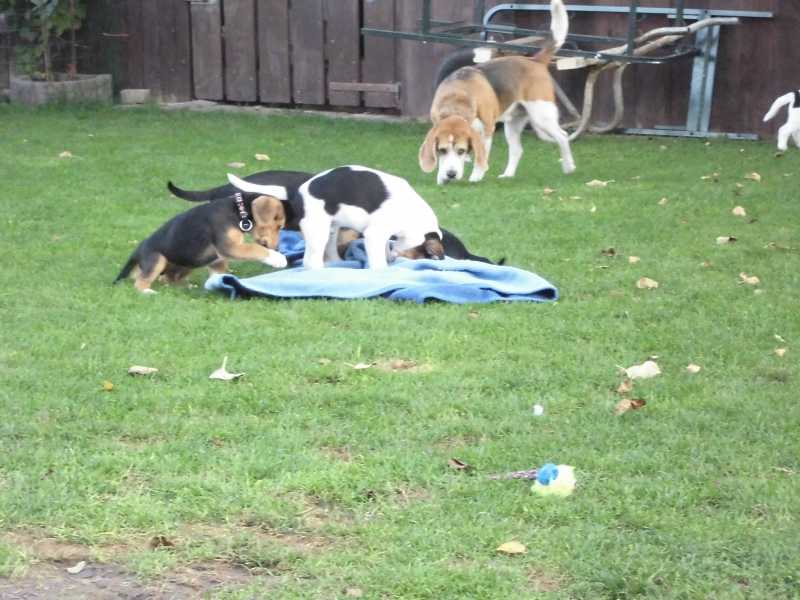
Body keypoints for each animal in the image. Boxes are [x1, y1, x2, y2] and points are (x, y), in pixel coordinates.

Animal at [113, 192, 287, 293]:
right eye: (279, 226)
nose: (277, 247)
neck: (238, 212)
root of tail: (138, 250)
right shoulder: (229, 247)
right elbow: (255, 248)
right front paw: (277, 258)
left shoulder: (218, 259)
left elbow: (219, 273)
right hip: (157, 259)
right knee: (141, 281)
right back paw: (147, 292)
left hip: (187, 264)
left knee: (168, 278)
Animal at [226, 166, 445, 269]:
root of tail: (297, 192)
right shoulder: (375, 234)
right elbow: (379, 260)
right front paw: (383, 269)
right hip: (318, 231)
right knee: (310, 262)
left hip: (332, 229)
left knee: (329, 253)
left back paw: (338, 263)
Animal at [419, 0, 574, 184]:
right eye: (441, 150)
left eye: (461, 150)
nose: (450, 175)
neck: (456, 100)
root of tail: (535, 60)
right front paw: (442, 176)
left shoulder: (486, 131)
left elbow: (481, 158)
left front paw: (475, 177)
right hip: (513, 123)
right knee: (517, 150)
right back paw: (508, 175)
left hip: (542, 116)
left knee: (563, 136)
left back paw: (568, 166)